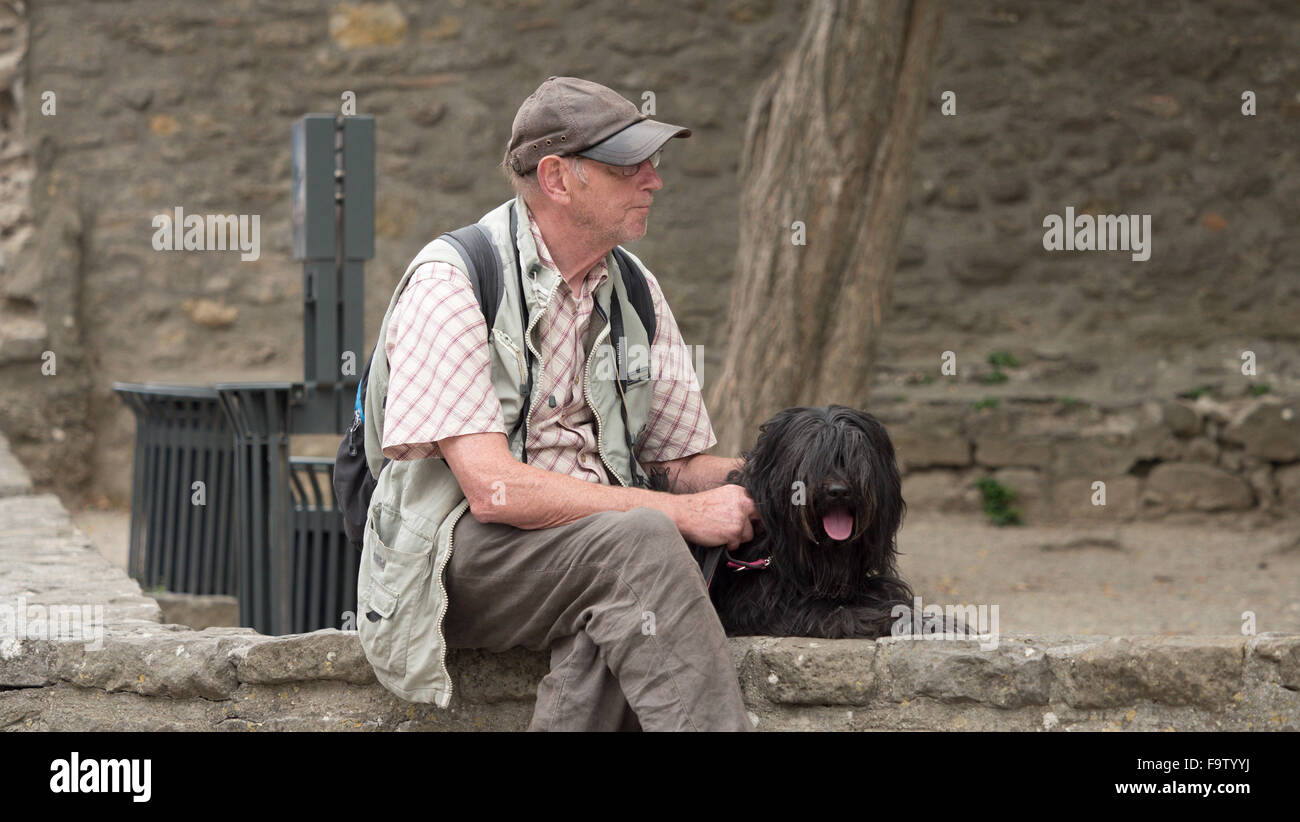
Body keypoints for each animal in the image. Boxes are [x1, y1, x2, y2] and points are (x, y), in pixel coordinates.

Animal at [647, 408, 915, 639]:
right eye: (809, 457)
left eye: (856, 455)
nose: (838, 491)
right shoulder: (761, 606)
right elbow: (828, 612)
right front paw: (888, 616)